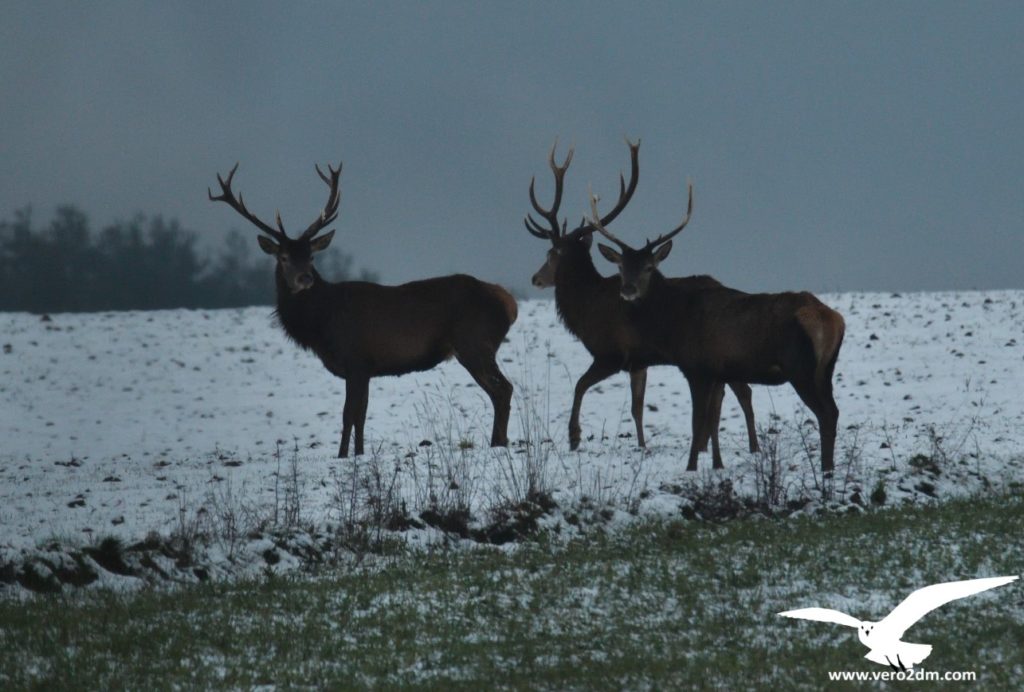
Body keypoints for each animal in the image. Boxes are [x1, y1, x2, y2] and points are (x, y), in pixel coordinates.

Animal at [207, 159, 516, 456]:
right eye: (283, 257)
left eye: (311, 256)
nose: (305, 278)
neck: (322, 323)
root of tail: (509, 302)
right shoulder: (365, 367)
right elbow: (361, 415)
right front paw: (359, 453)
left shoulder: (355, 358)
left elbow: (348, 414)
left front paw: (343, 455)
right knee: (499, 390)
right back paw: (499, 441)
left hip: (474, 342)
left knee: (503, 389)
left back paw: (497, 443)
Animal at [524, 139, 757, 464]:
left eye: (551, 254)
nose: (536, 278)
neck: (586, 307)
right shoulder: (638, 362)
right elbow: (637, 407)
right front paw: (642, 444)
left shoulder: (612, 354)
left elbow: (580, 385)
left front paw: (574, 437)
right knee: (738, 391)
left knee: (743, 390)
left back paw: (748, 447)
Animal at [589, 178, 843, 472]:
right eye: (621, 267)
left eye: (649, 267)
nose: (628, 290)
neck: (673, 321)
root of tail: (831, 319)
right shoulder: (717, 372)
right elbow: (711, 421)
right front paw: (714, 464)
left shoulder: (698, 366)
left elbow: (697, 422)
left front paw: (690, 467)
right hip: (826, 370)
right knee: (834, 411)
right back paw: (828, 468)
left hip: (800, 368)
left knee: (825, 413)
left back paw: (825, 469)